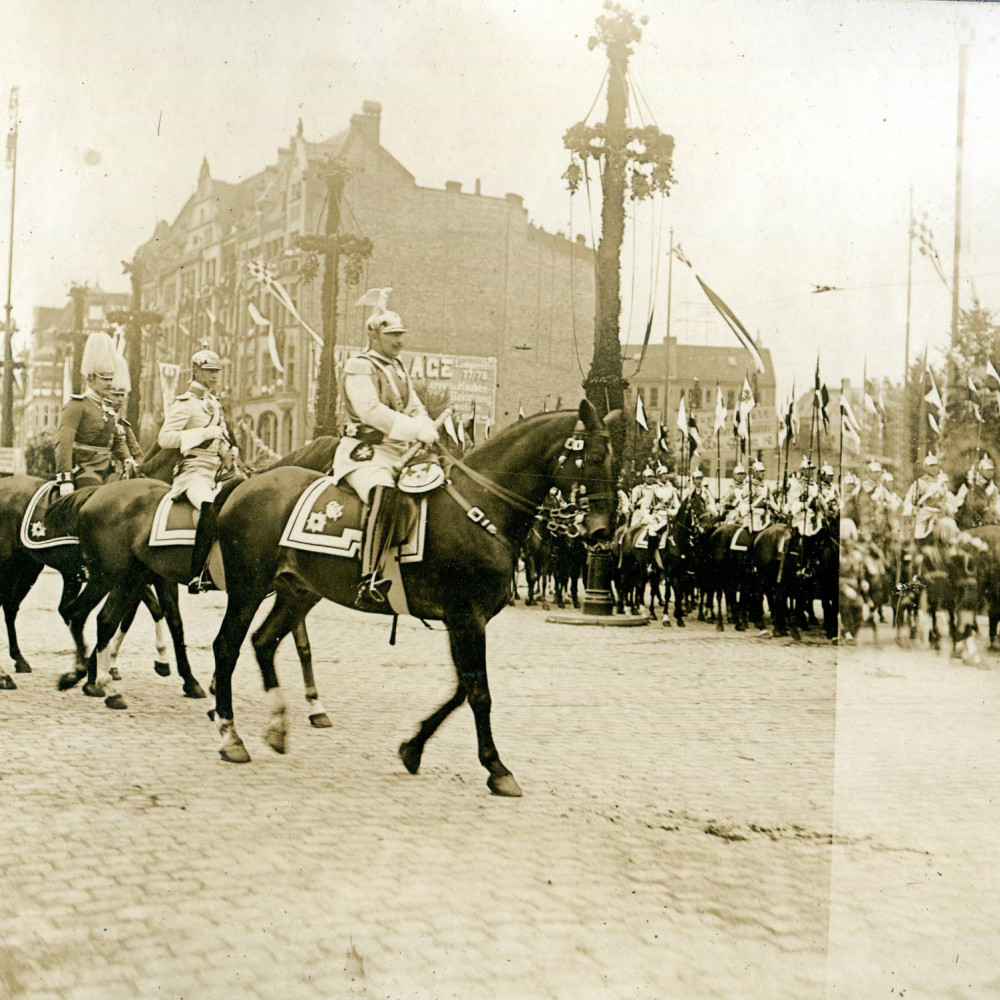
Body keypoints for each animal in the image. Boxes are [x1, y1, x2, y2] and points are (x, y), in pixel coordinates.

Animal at [208, 400, 620, 796]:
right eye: (595, 457)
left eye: (615, 460)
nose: (602, 531)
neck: (479, 506)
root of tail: (247, 485)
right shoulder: (467, 618)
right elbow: (479, 693)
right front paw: (496, 768)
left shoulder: (463, 621)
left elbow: (462, 689)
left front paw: (413, 748)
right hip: (248, 589)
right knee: (226, 647)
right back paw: (231, 738)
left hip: (299, 592)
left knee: (263, 642)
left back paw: (277, 726)